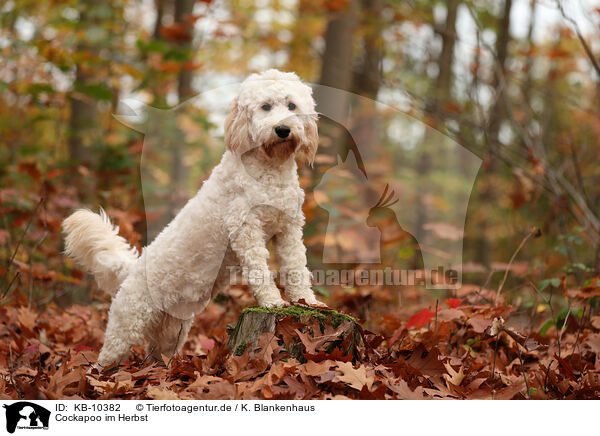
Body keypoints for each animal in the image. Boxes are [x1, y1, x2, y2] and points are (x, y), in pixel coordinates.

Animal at [62, 69, 318, 368]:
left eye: (292, 106)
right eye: (265, 106)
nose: (283, 130)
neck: (270, 169)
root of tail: (131, 270)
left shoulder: (289, 228)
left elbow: (297, 267)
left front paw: (308, 300)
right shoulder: (246, 229)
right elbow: (259, 271)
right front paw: (273, 302)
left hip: (171, 332)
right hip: (125, 328)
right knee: (102, 363)